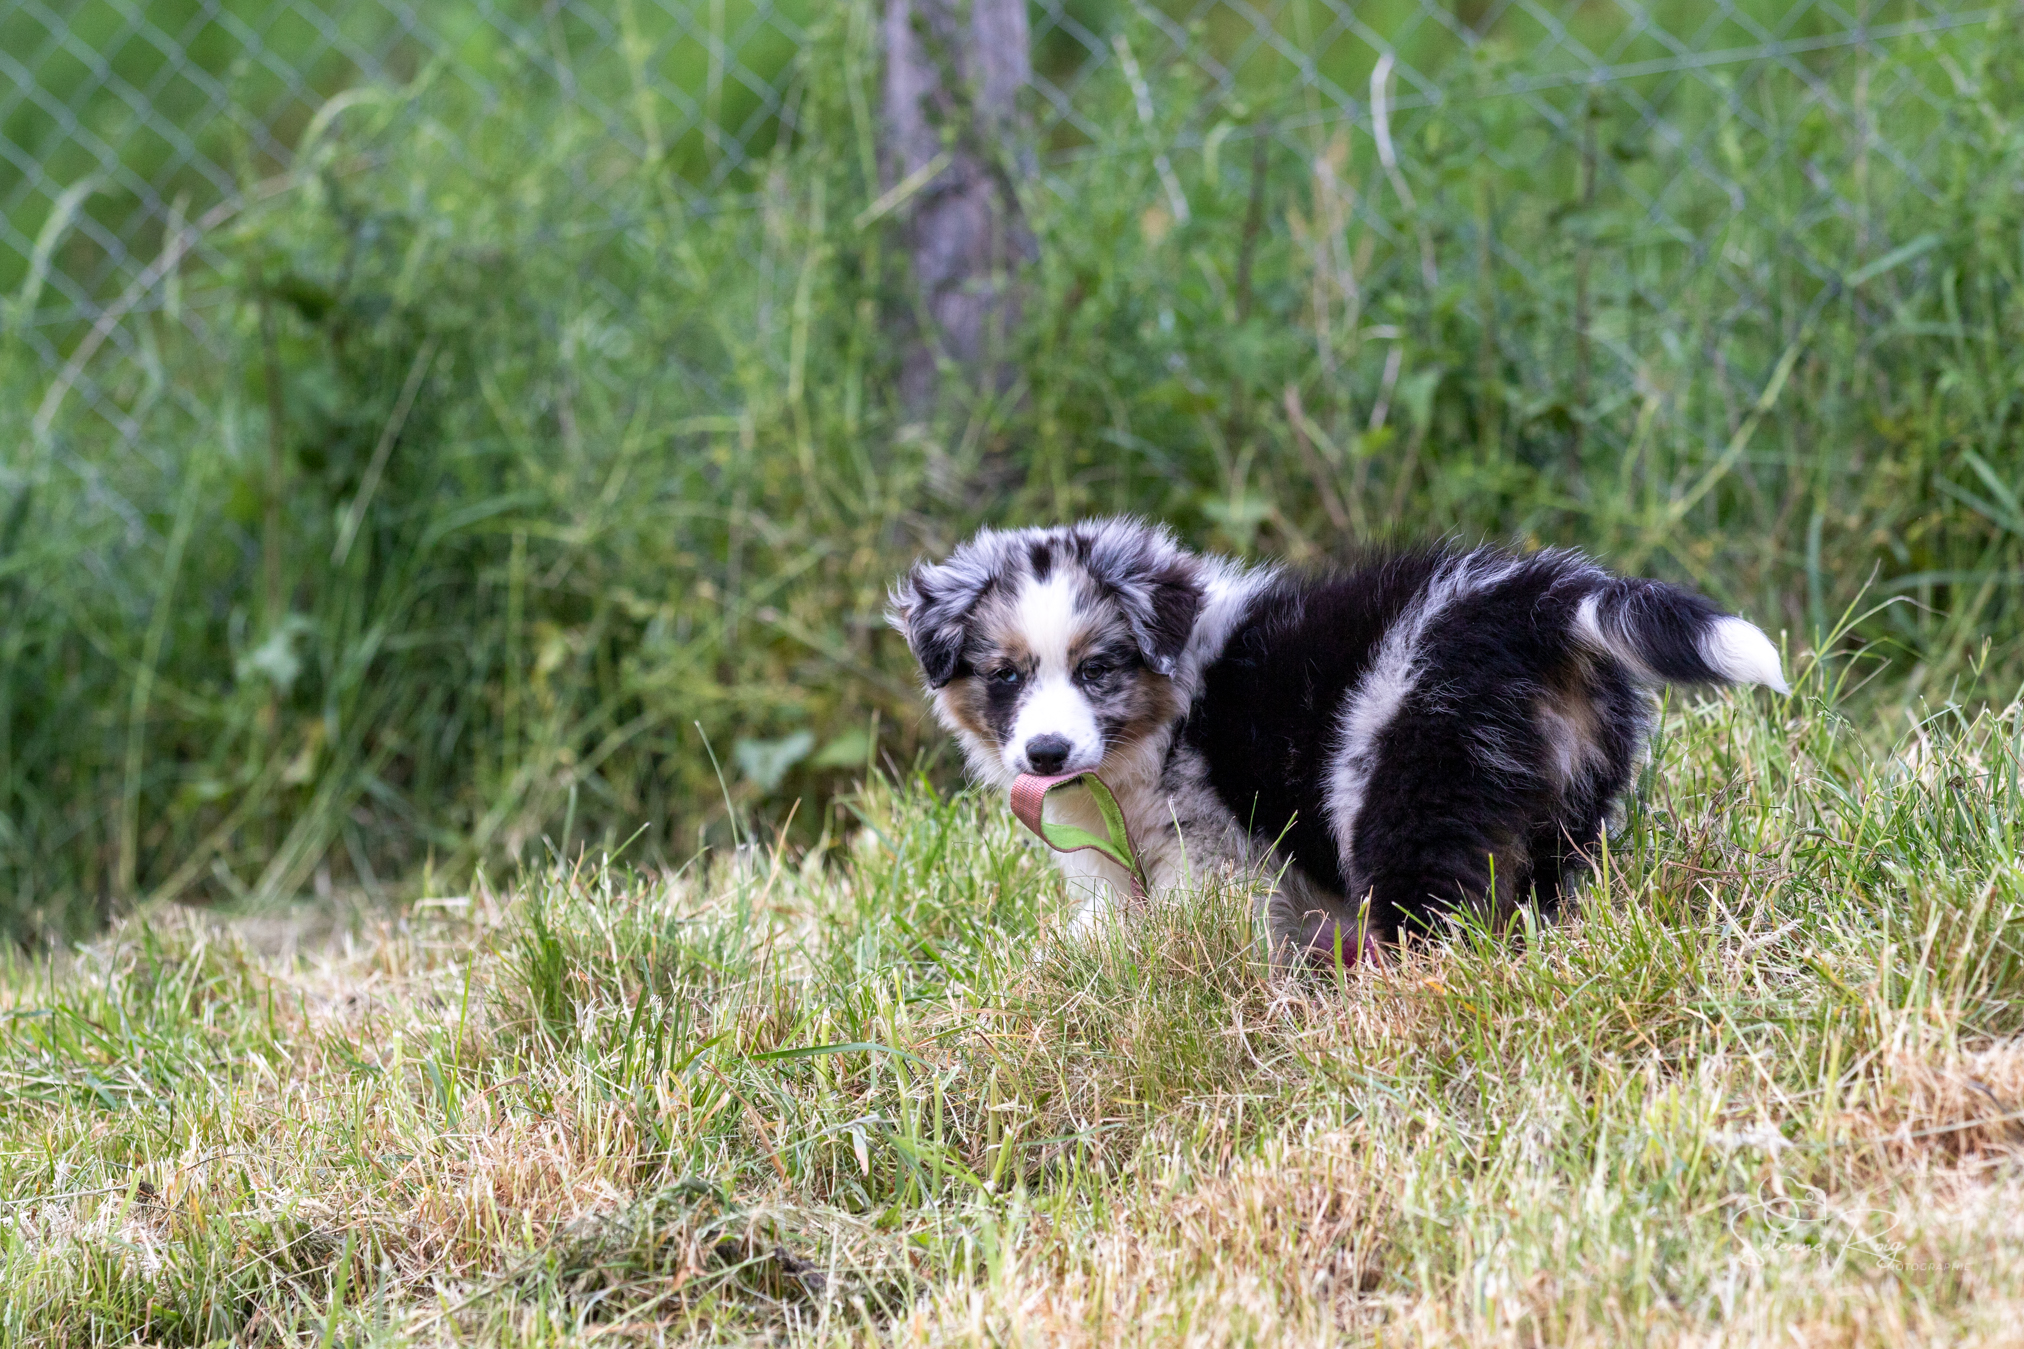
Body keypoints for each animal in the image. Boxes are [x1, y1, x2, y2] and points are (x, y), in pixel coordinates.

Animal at [887, 518, 1786, 961]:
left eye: (1098, 668)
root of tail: (1527, 602)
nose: (1045, 755)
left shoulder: (1209, 853)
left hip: (1407, 775)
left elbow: (1193, 925)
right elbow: (1112, 917)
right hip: (1568, 785)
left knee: (1430, 905)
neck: (1162, 710)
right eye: (1005, 676)